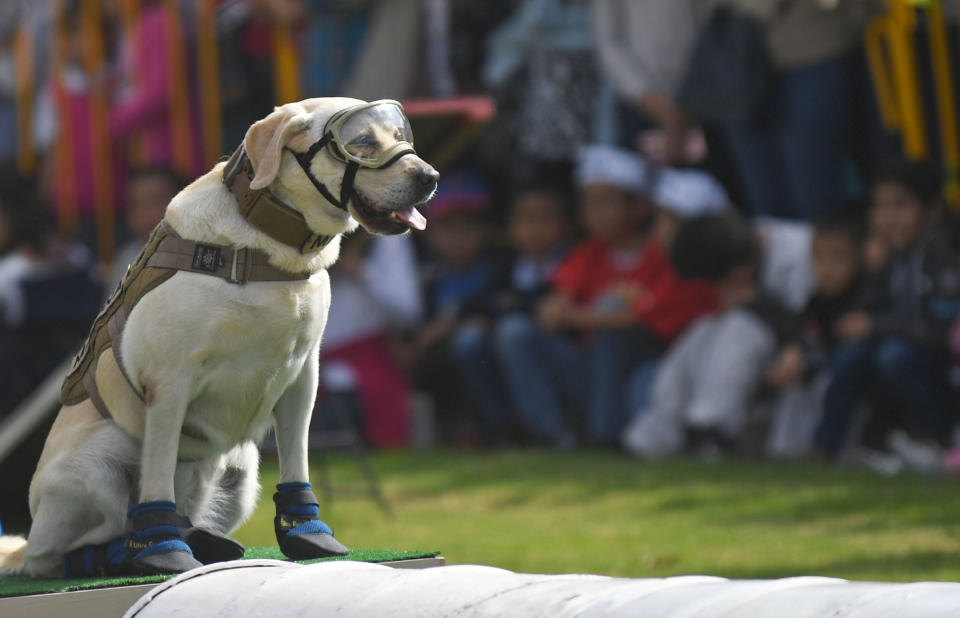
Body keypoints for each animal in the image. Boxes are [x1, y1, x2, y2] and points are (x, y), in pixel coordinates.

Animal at [0, 98, 438, 576]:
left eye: (399, 133)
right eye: (360, 141)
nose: (430, 177)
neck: (267, 245)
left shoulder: (303, 376)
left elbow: (297, 460)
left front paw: (309, 535)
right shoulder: (169, 383)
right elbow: (156, 479)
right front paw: (163, 549)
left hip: (241, 471)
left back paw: (203, 539)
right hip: (97, 468)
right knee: (66, 553)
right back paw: (126, 553)